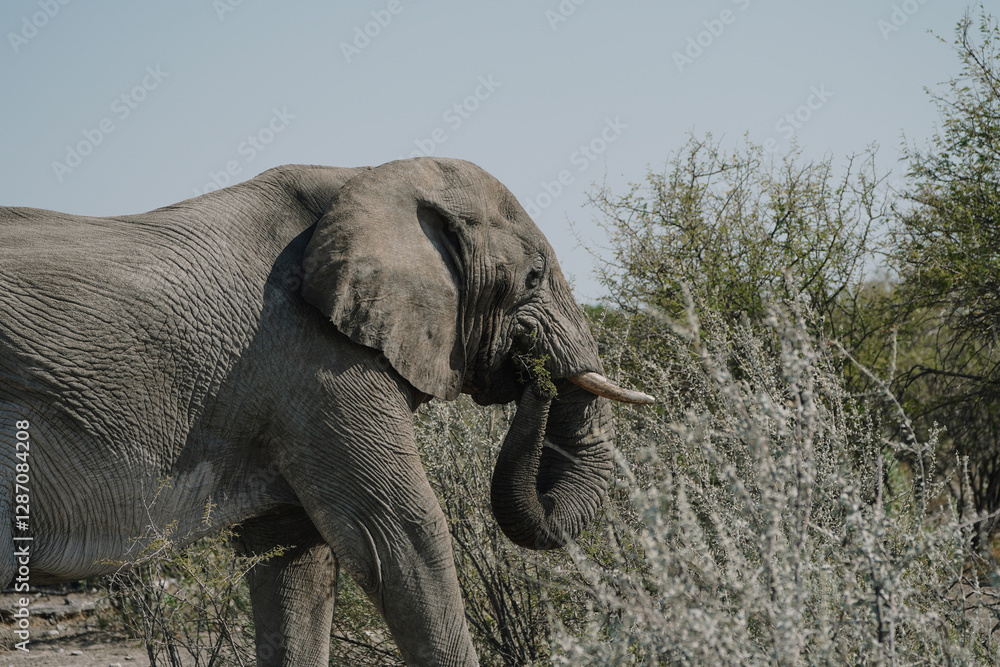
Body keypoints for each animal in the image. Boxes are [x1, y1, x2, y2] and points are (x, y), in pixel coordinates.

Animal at [0, 157, 652, 666]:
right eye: (535, 275)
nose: (532, 361)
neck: (368, 179)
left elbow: (295, 561)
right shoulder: (318, 363)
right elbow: (402, 536)